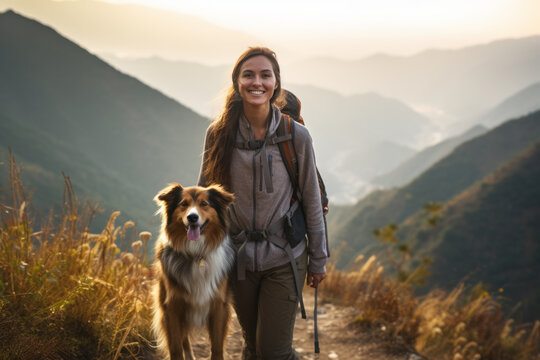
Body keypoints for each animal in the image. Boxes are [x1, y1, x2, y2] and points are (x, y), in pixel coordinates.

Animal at [153, 184, 235, 358]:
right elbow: (176, 348)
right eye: (184, 204)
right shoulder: (172, 306)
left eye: (204, 204)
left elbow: (217, 347)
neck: (196, 254)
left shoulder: (219, 305)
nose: (192, 218)